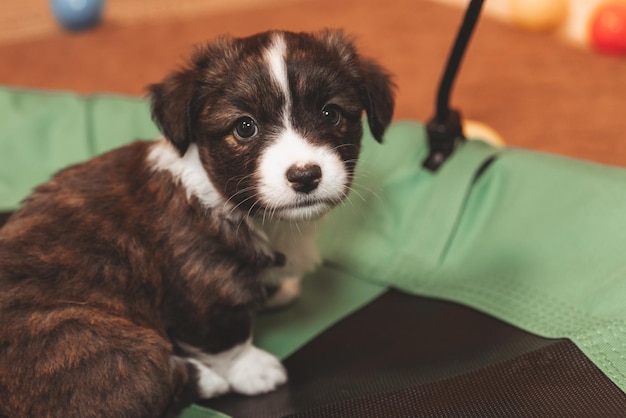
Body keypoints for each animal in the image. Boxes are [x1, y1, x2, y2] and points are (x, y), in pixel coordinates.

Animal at [0, 30, 392, 418]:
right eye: (245, 127)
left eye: (331, 113)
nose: (305, 176)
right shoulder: (206, 289)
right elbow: (228, 339)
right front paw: (254, 370)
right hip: (86, 338)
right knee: (146, 381)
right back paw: (208, 379)